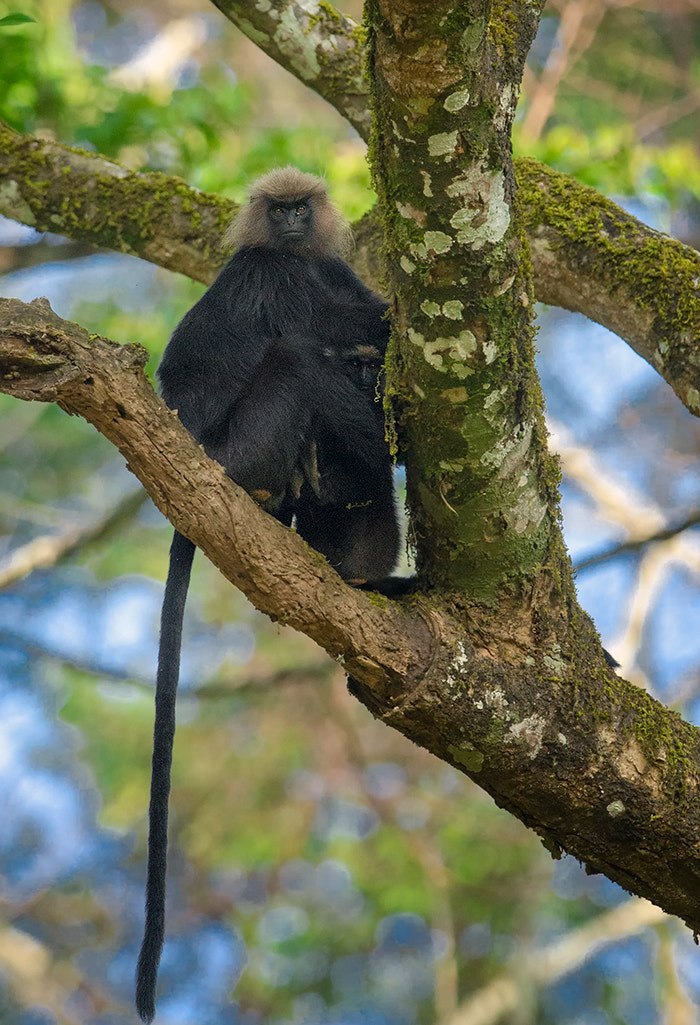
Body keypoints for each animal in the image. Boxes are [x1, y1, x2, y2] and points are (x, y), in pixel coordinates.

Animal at [137, 166, 399, 1016]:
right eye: (276, 208)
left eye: (299, 208)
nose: (287, 223)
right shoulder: (273, 273)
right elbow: (343, 325)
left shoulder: (324, 261)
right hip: (241, 451)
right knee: (296, 357)